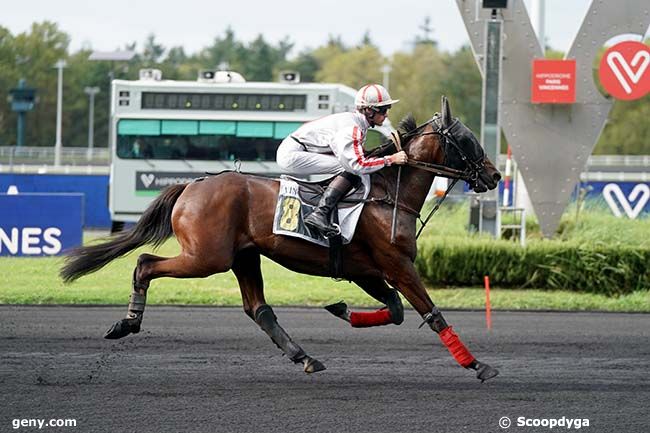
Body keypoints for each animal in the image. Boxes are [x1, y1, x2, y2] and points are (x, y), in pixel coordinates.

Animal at [60, 97, 502, 382]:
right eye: (468, 139)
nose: (495, 175)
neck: (387, 194)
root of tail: (193, 184)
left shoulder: (366, 269)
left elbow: (394, 310)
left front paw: (341, 309)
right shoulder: (397, 264)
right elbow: (431, 313)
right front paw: (478, 365)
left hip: (243, 257)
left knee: (259, 309)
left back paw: (304, 357)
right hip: (207, 257)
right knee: (145, 264)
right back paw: (127, 322)